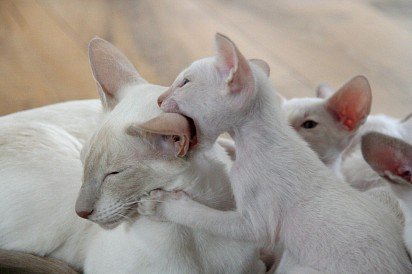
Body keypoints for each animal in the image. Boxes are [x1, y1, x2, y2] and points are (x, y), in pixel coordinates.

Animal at [139, 33, 412, 272]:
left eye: (184, 83)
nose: (160, 99)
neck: (257, 141)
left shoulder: (255, 225)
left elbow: (202, 216)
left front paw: (162, 205)